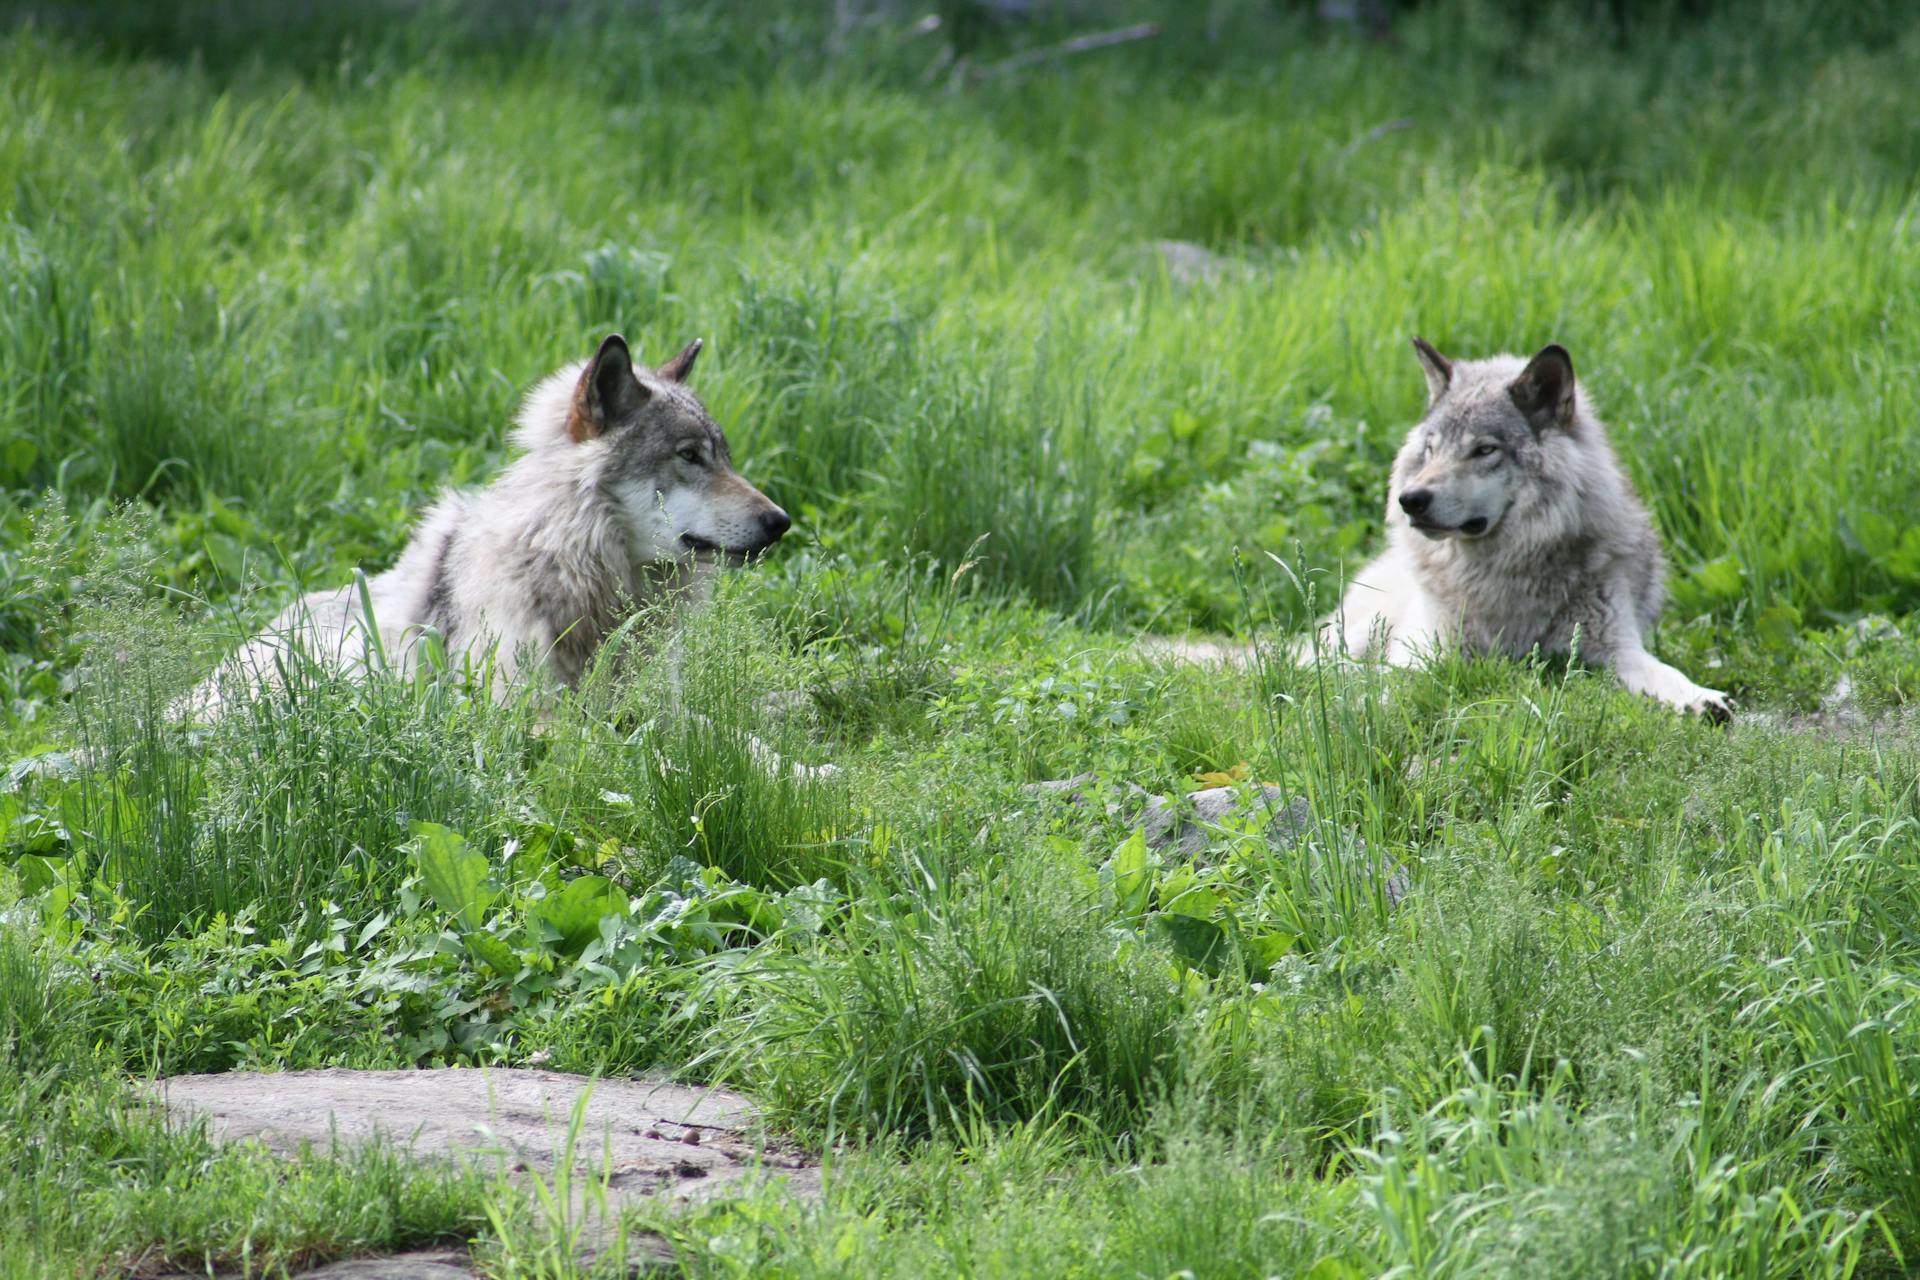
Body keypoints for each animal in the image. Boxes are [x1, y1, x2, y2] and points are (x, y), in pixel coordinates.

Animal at [1305, 337, 1743, 721]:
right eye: (1431, 450)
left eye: (1484, 450)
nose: (1410, 499)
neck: (1506, 569)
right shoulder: (1431, 648)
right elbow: (1400, 681)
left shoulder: (1617, 646)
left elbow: (1664, 672)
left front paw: (1700, 697)